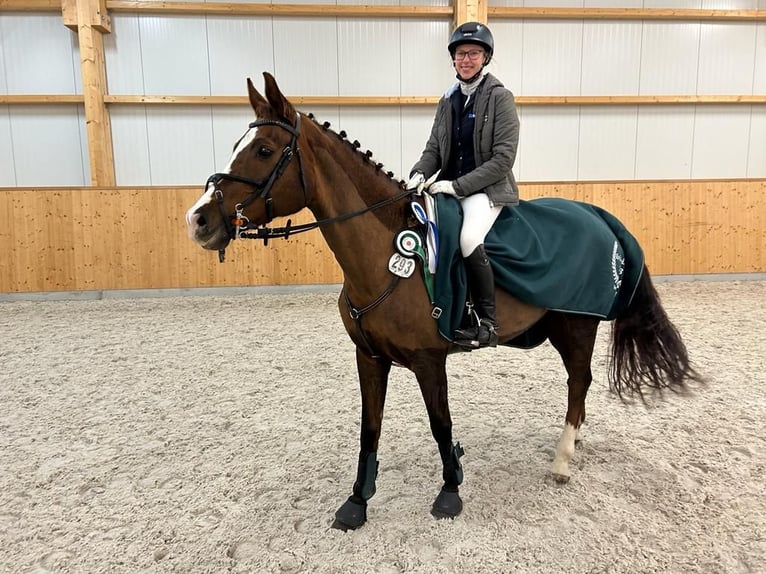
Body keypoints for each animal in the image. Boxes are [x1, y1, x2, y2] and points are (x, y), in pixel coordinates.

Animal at [185, 72, 703, 531]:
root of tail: (597, 213)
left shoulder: (428, 360)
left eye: (264, 150)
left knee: (579, 382)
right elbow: (369, 428)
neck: (385, 255)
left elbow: (441, 426)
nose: (199, 220)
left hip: (577, 324)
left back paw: (562, 459)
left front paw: (451, 492)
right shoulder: (369, 357)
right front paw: (357, 502)